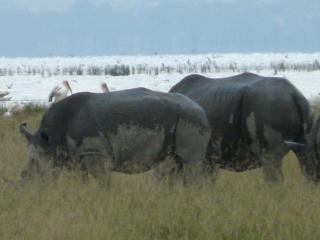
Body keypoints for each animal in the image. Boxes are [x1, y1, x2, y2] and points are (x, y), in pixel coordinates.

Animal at [19, 87, 210, 184]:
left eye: (37, 167)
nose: (24, 185)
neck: (52, 138)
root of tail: (202, 109)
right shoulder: (80, 156)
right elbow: (84, 181)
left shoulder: (94, 154)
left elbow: (103, 182)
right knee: (174, 164)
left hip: (191, 118)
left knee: (190, 162)